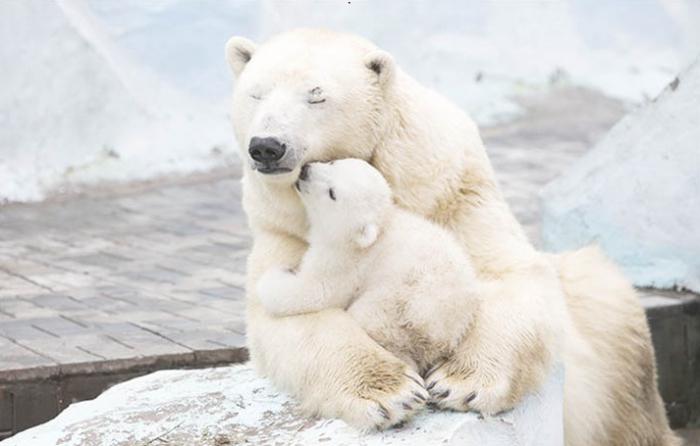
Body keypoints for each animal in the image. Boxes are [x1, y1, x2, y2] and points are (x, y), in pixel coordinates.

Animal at [258, 157, 482, 384]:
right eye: (333, 162)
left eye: (332, 193)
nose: (305, 171)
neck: (378, 229)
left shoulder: (345, 261)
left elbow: (315, 292)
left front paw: (277, 275)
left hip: (398, 306)